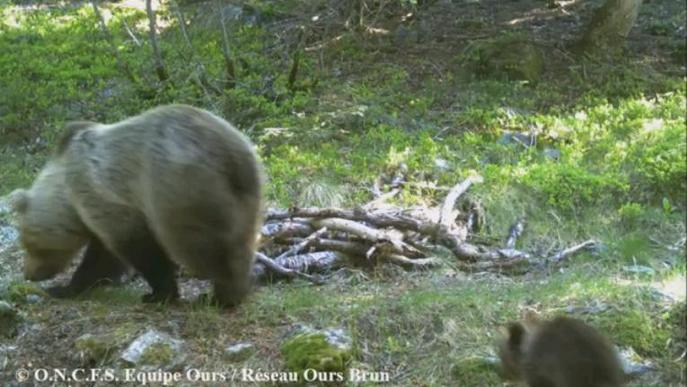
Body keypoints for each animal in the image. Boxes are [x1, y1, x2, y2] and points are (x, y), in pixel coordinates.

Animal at [9, 104, 264, 308]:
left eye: (28, 243)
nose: (29, 274)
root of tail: (232, 154)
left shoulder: (103, 193)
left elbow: (130, 249)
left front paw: (158, 294)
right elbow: (107, 254)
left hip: (180, 187)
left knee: (199, 245)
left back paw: (221, 295)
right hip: (248, 196)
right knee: (241, 240)